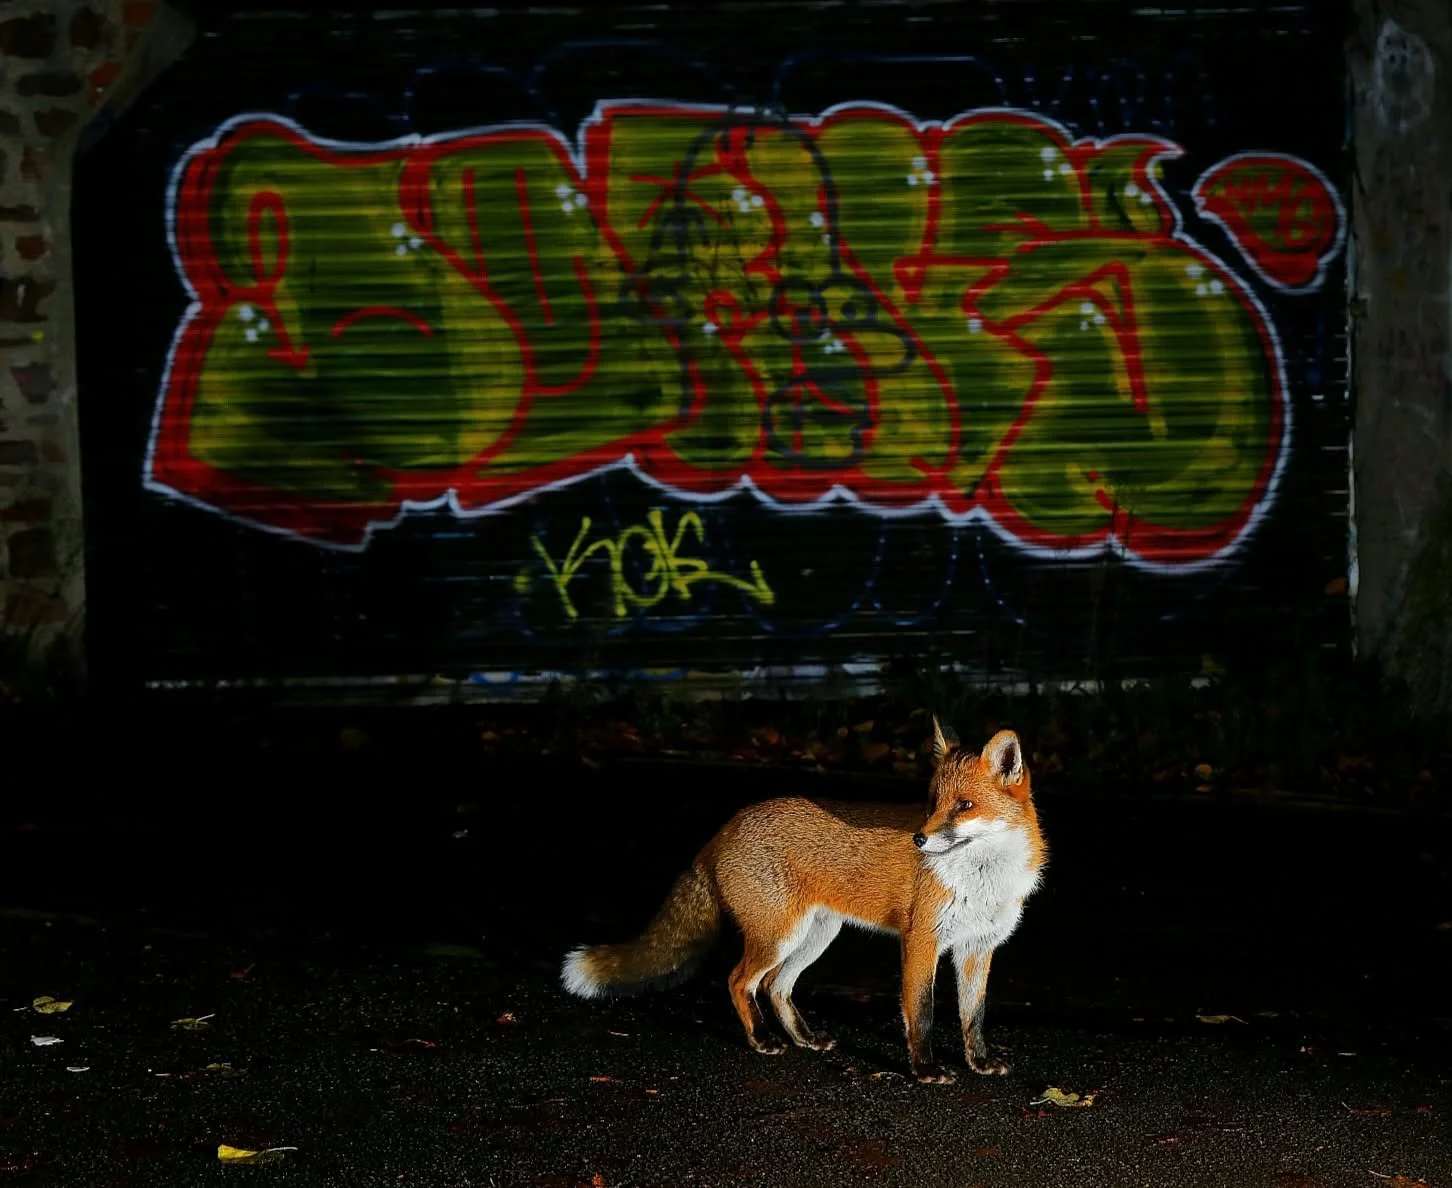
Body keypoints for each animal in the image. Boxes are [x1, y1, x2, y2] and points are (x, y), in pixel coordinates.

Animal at [560, 718, 1046, 1084]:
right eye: (931, 802)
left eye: (964, 805)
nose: (920, 840)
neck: (984, 878)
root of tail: (728, 826)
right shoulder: (922, 940)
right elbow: (921, 1013)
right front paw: (925, 1070)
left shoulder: (977, 947)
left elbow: (973, 1015)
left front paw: (980, 1062)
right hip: (778, 936)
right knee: (739, 981)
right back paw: (762, 1041)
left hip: (815, 936)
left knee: (776, 987)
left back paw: (805, 1039)